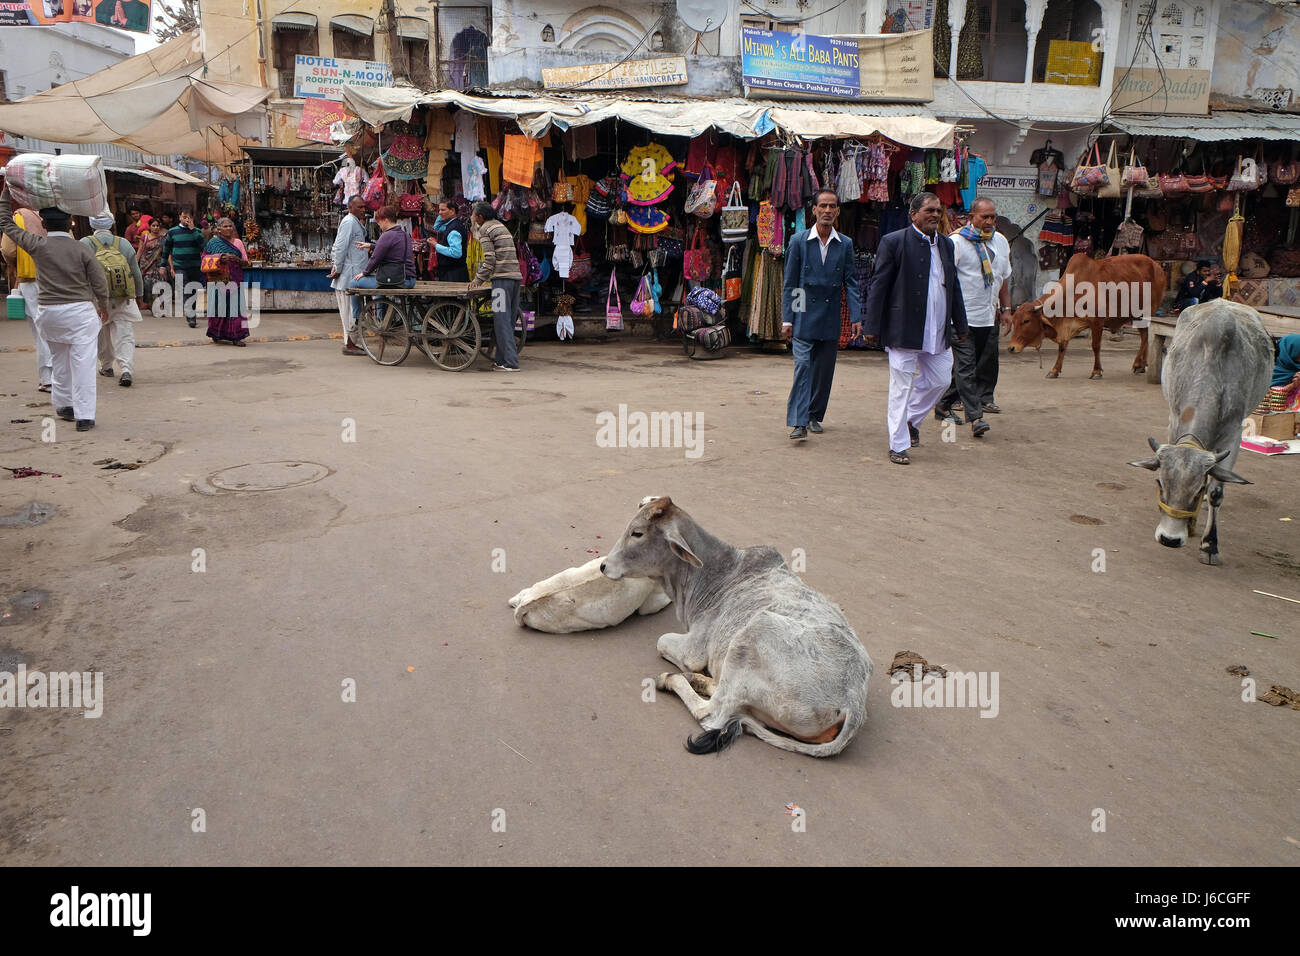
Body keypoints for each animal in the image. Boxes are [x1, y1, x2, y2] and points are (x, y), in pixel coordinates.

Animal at [600, 496, 873, 759]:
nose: (603, 566)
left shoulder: (693, 650)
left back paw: (672, 679)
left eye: (637, 533)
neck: (715, 575)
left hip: (752, 633)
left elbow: (663, 643)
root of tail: (854, 705)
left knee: (712, 714)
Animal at [1008, 254, 1164, 382]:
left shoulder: (1097, 322)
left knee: (1145, 337)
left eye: (1026, 321)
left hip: (1146, 313)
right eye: (1013, 321)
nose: (1011, 347)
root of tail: (1156, 265)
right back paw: (1142, 364)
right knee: (1145, 336)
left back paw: (1138, 364)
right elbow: (1062, 347)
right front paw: (1054, 370)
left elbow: (1096, 346)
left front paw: (1096, 371)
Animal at [1128, 299, 1268, 564]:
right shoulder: (1173, 420)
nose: (1169, 540)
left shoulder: (1233, 434)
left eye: (1198, 489)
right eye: (1160, 483)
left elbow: (1216, 491)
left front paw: (1209, 544)